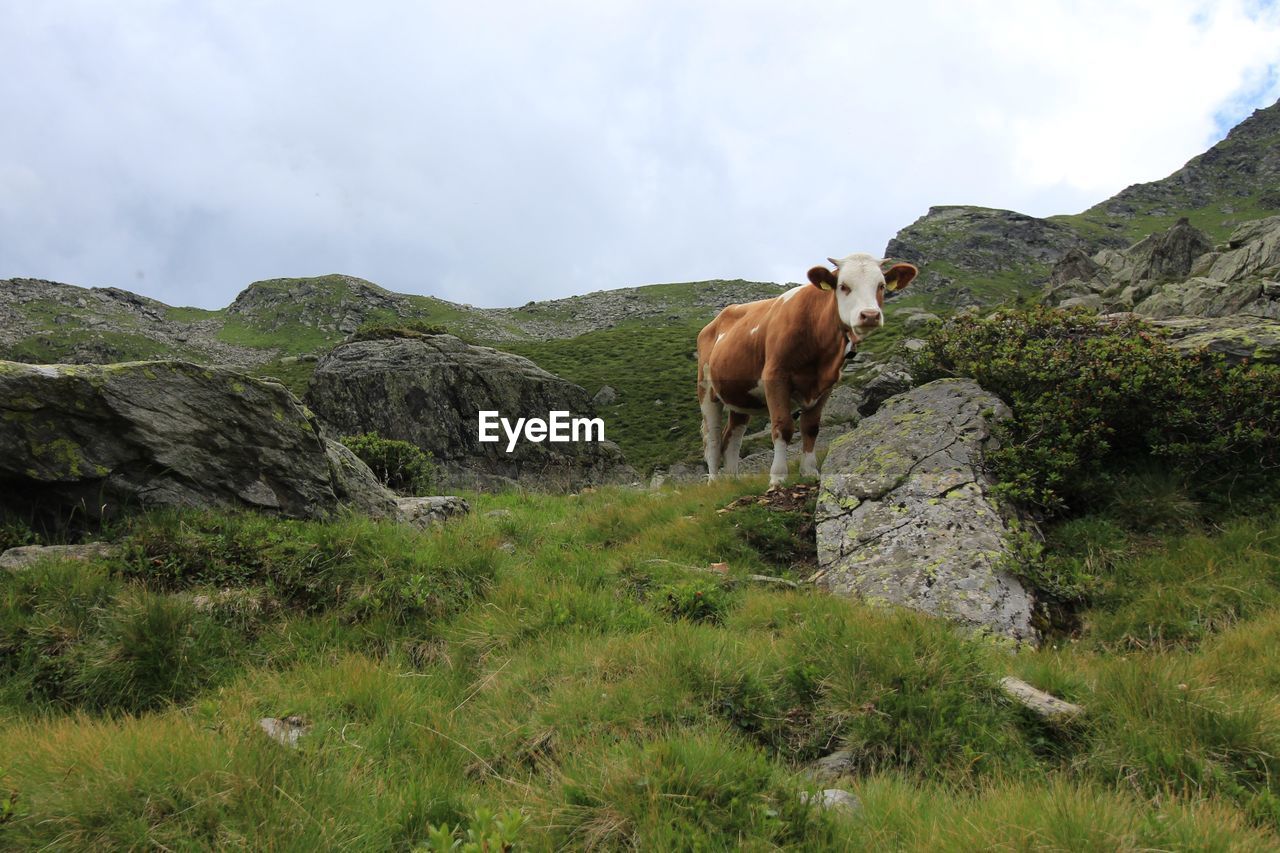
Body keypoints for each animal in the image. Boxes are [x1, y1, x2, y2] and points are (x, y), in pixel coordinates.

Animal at [696, 249, 916, 481]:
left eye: (881, 285)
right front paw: (778, 478)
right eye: (843, 286)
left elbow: (811, 428)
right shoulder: (775, 376)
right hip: (706, 391)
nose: (870, 315)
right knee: (713, 439)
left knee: (732, 437)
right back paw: (715, 481)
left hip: (741, 395)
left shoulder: (826, 385)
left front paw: (809, 471)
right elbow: (783, 426)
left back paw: (732, 481)